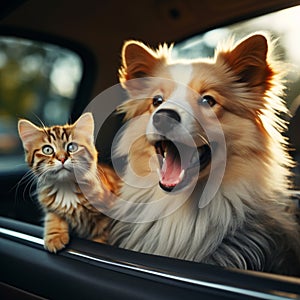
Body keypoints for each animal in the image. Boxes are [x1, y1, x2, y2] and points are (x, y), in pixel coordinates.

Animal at [17, 112, 118, 253]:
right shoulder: (50, 206)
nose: (62, 158)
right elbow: (53, 217)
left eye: (72, 147)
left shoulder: (108, 216)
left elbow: (103, 236)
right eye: (47, 150)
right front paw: (54, 236)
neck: (66, 187)